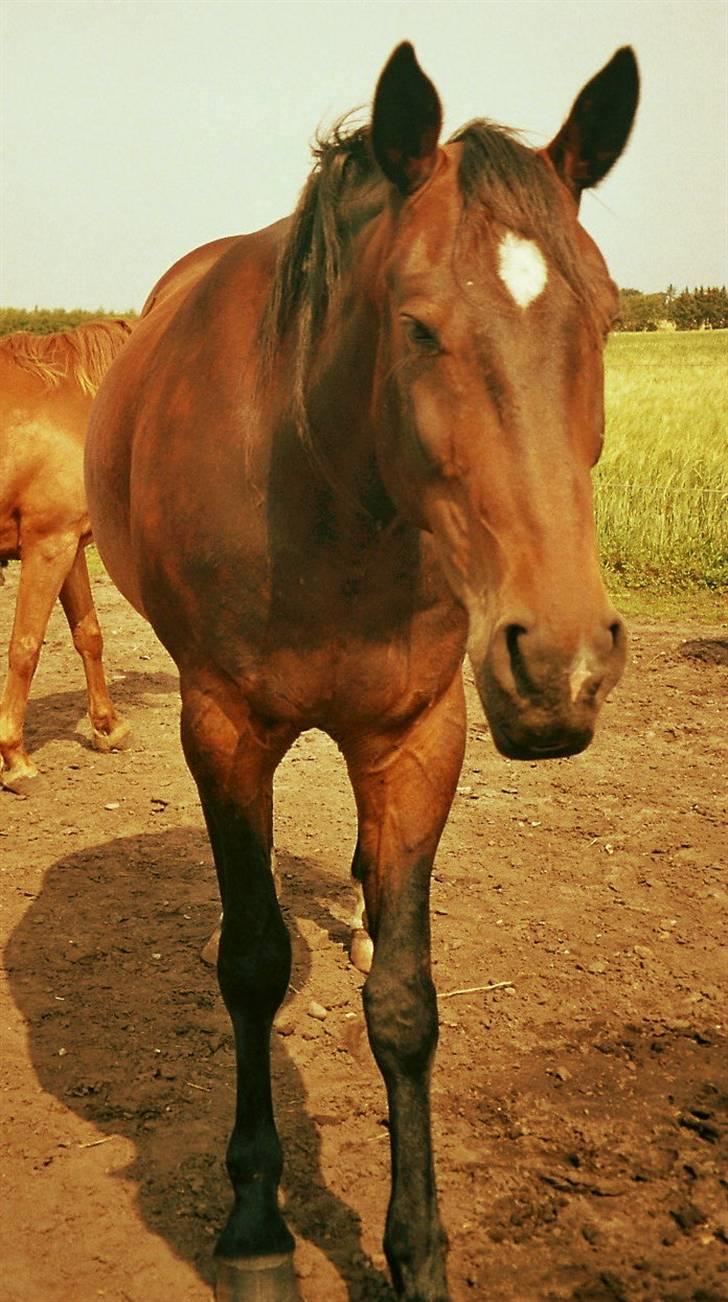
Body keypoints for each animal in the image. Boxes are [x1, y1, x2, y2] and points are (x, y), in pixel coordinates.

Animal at [0, 320, 132, 786]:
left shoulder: (68, 548)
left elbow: (88, 634)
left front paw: (109, 727)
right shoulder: (48, 544)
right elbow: (25, 646)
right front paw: (15, 758)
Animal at [88, 40, 640, 1302]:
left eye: (603, 314)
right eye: (417, 325)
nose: (563, 665)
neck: (330, 489)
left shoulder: (418, 734)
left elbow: (403, 1002)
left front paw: (416, 1246)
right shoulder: (223, 730)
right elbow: (251, 964)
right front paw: (255, 1224)